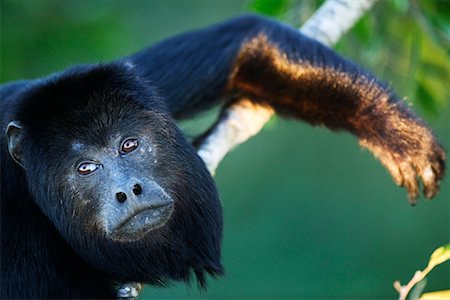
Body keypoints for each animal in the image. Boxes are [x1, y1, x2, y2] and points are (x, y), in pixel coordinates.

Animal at [0, 13, 442, 298]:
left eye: (128, 144)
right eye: (85, 168)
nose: (129, 190)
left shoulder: (131, 84)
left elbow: (242, 40)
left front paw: (396, 130)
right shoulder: (18, 242)